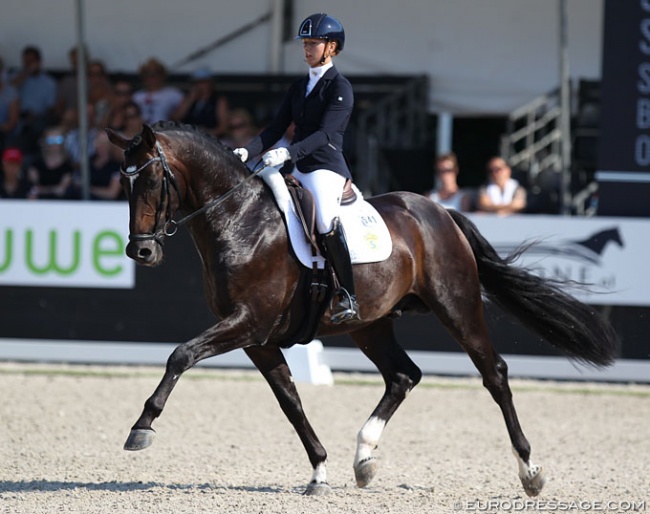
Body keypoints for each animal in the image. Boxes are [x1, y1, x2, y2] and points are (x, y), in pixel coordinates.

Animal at [106, 122, 616, 494]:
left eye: (153, 179)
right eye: (123, 183)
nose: (140, 252)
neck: (240, 221)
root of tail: (439, 212)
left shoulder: (247, 323)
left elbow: (181, 354)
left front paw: (141, 427)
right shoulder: (257, 338)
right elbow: (289, 400)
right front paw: (318, 471)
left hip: (458, 305)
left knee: (495, 374)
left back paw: (530, 471)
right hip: (371, 325)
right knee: (404, 375)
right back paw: (364, 457)